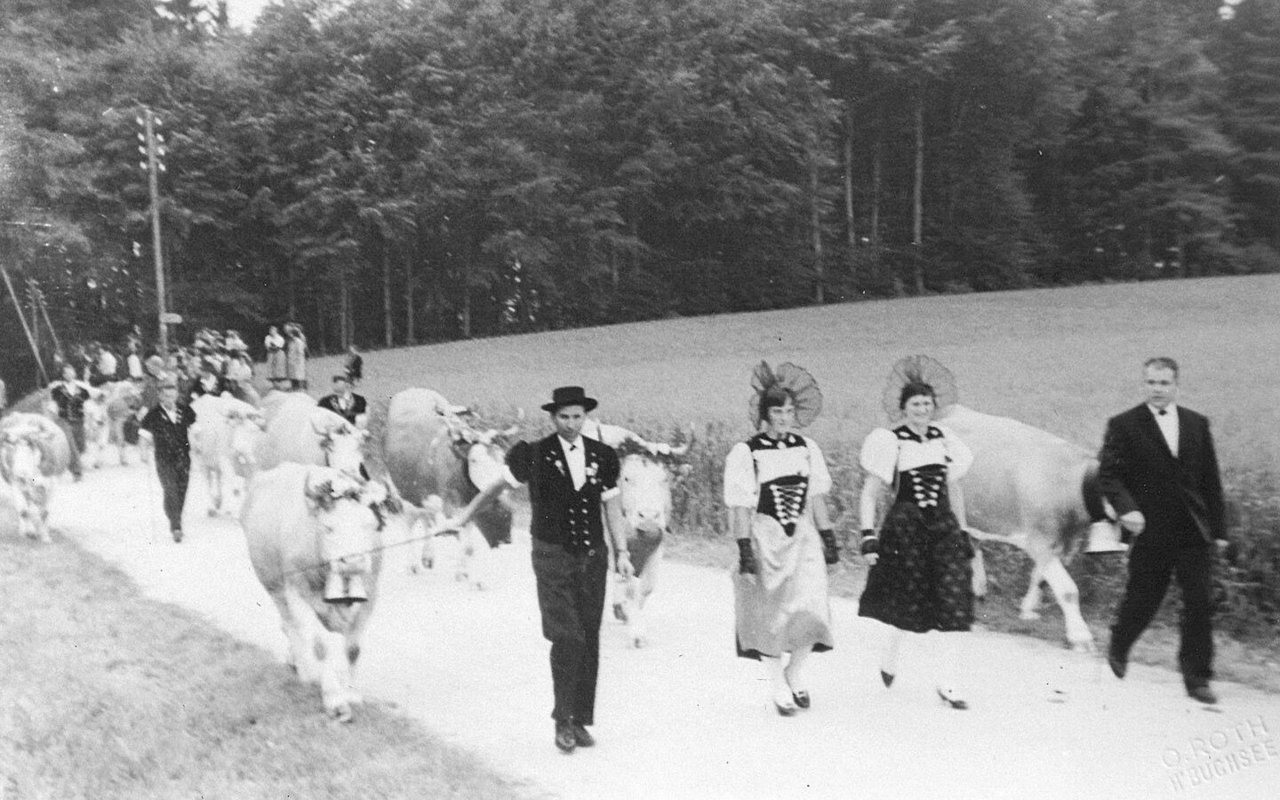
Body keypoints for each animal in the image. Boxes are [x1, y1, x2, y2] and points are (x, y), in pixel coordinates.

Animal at [241, 460, 391, 716]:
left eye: (369, 525)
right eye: (329, 528)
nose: (353, 561)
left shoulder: (370, 596)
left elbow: (353, 649)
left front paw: (351, 693)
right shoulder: (298, 590)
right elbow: (321, 646)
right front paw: (334, 698)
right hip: (275, 588)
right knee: (290, 626)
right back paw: (303, 668)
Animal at [942, 404, 1121, 650]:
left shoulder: (1058, 542)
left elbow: (1039, 577)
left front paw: (1027, 609)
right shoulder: (1039, 541)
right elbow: (1068, 590)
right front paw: (1080, 637)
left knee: (972, 542)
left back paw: (978, 589)